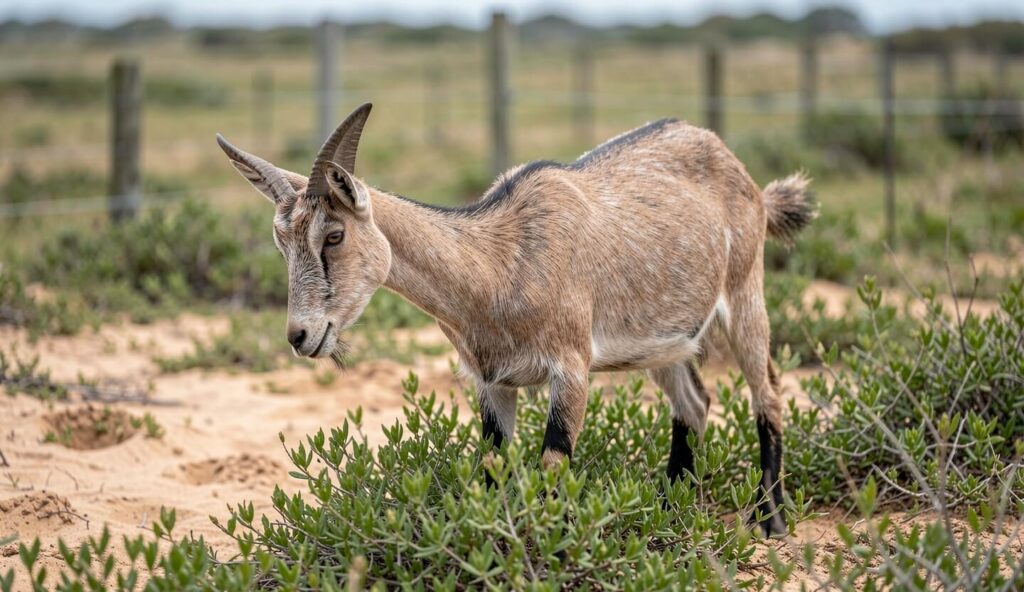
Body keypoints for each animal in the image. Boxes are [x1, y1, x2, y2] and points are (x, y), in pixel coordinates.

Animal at [216, 103, 815, 536]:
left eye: (334, 235)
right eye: (281, 241)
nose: (301, 336)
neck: (500, 264)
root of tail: (745, 176)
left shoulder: (570, 369)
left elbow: (552, 465)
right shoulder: (492, 381)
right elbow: (490, 468)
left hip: (745, 292)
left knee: (768, 392)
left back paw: (771, 520)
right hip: (664, 341)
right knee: (694, 401)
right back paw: (667, 511)